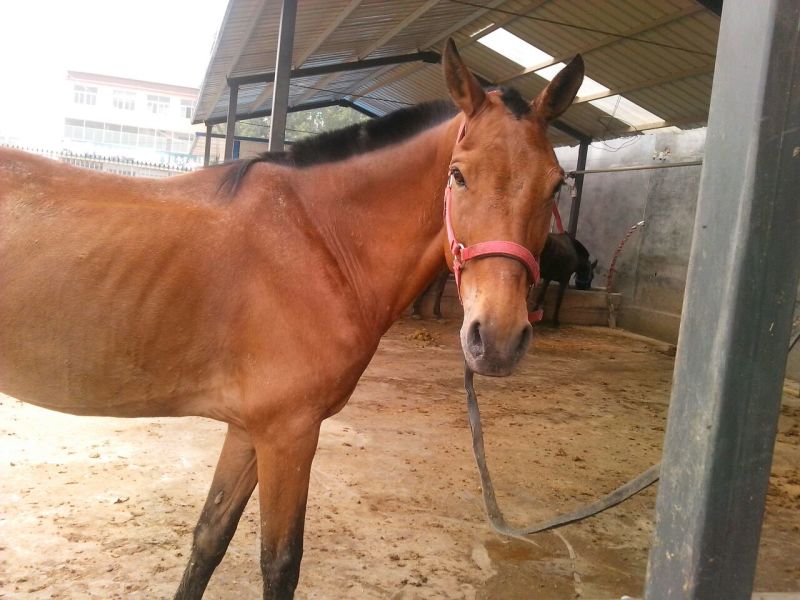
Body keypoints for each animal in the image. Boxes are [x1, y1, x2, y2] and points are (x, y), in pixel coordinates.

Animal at [0, 40, 584, 599]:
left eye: (556, 186)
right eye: (458, 176)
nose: (499, 338)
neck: (317, 239)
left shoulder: (248, 431)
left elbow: (209, 537)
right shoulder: (289, 434)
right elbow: (279, 563)